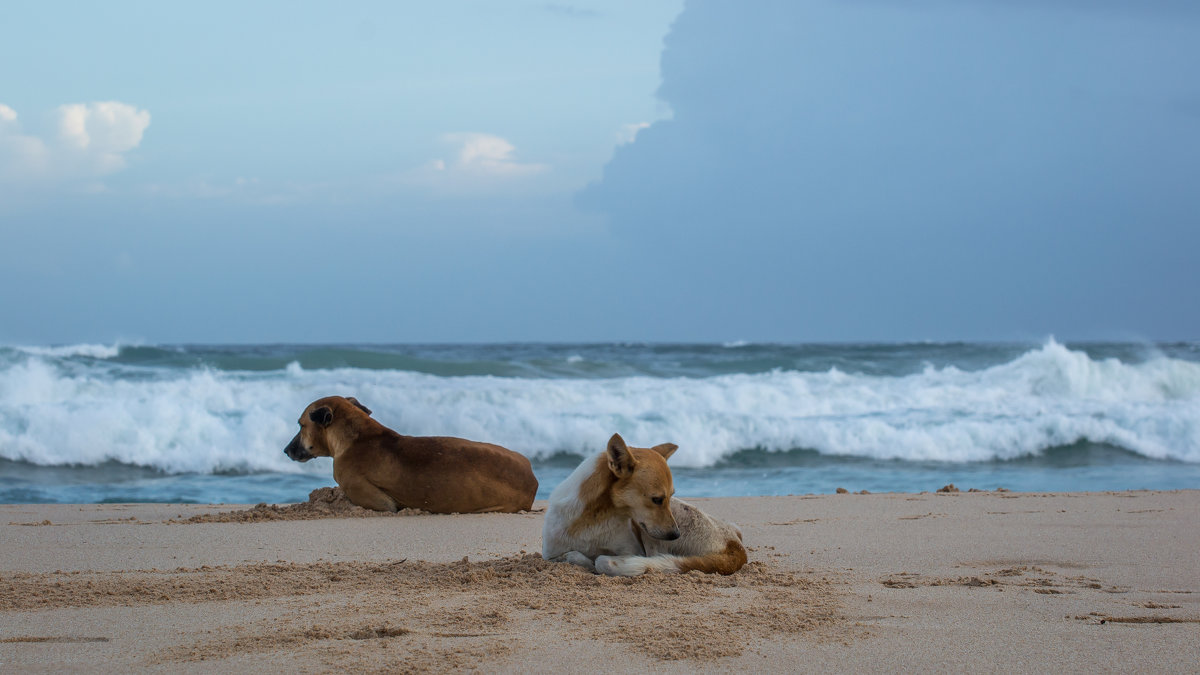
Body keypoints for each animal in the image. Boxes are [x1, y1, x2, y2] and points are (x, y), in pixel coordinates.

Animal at [542, 429, 739, 571]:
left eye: (671, 496)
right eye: (657, 499)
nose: (676, 535)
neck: (596, 516)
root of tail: (734, 544)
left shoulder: (634, 550)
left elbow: (598, 559)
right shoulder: (549, 553)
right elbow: (571, 555)